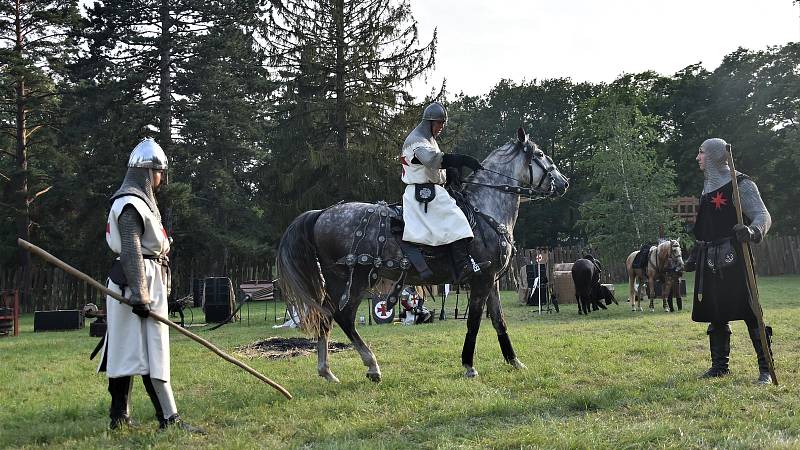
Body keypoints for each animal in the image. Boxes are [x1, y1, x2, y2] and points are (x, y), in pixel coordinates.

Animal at [276, 127, 568, 384]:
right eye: (540, 154)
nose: (564, 183)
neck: (486, 210)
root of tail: (321, 214)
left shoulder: (491, 281)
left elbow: (499, 321)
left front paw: (513, 360)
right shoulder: (481, 280)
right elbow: (474, 323)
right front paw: (469, 365)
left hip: (340, 282)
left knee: (325, 316)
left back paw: (327, 371)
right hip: (356, 279)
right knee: (343, 317)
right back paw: (372, 366)